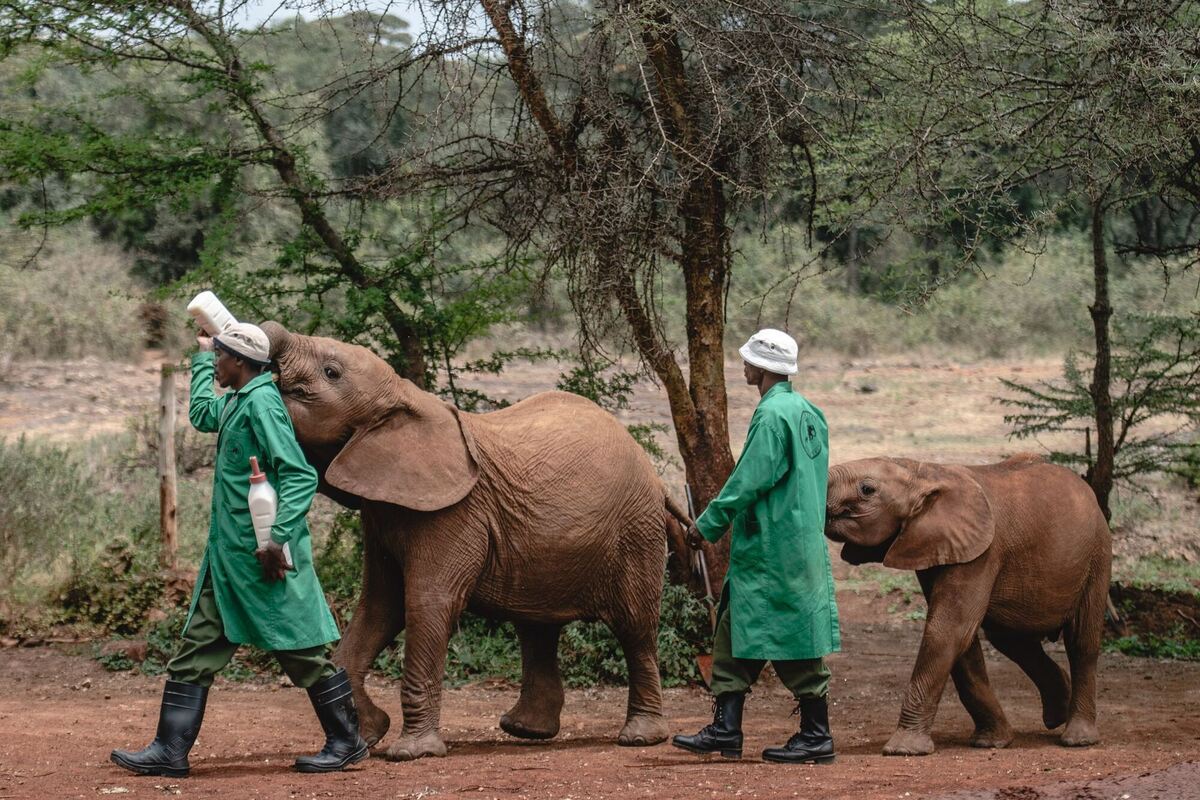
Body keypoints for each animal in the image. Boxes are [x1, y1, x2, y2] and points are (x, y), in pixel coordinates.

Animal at [258, 321, 686, 762]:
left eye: (331, 372)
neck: (404, 395)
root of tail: (656, 479)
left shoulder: (455, 514)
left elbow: (426, 602)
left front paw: (411, 753)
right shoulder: (382, 511)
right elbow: (379, 606)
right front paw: (372, 732)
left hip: (637, 531)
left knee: (635, 627)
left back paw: (639, 736)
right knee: (537, 627)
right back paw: (525, 730)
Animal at [820, 455, 1108, 758]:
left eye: (867, 489)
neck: (922, 470)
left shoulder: (983, 553)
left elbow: (947, 630)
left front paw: (903, 750)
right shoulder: (939, 546)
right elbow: (961, 639)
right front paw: (991, 742)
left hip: (1098, 555)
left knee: (1081, 642)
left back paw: (1078, 738)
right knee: (1012, 641)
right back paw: (1056, 715)